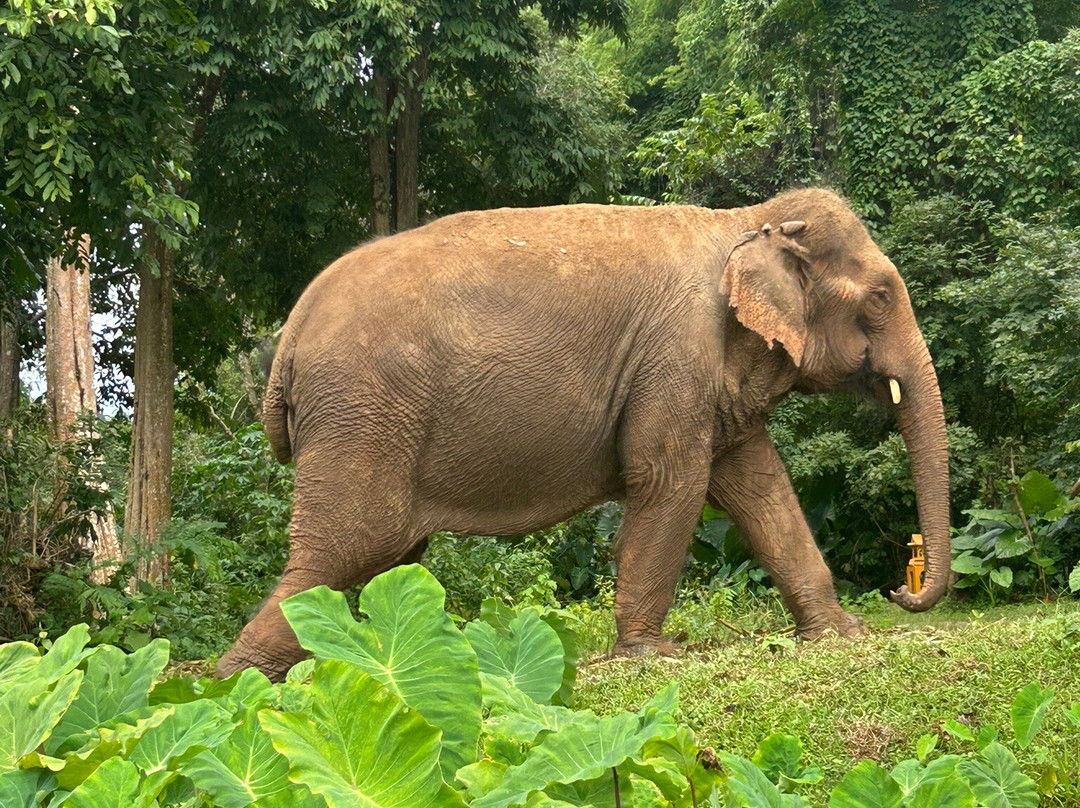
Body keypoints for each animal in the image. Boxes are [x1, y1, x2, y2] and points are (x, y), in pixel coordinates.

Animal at [216, 188, 950, 681]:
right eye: (881, 296)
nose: (902, 590)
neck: (744, 218)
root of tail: (288, 337)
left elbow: (760, 485)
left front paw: (842, 635)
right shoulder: (675, 354)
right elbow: (671, 479)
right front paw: (653, 654)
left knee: (374, 561)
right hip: (362, 415)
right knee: (341, 555)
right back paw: (233, 688)